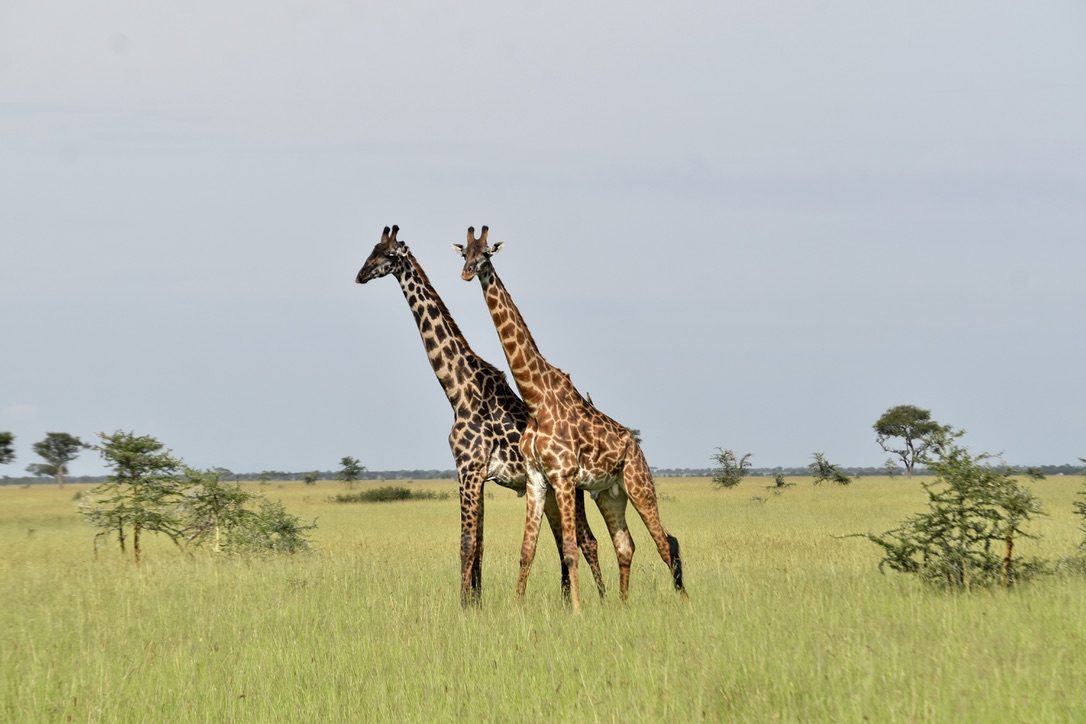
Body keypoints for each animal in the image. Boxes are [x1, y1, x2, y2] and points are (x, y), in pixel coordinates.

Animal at [355, 225, 606, 606]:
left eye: (388, 255)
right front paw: (477, 603)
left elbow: (466, 545)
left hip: (570, 488)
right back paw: (569, 602)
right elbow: (480, 546)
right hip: (548, 491)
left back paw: (602, 600)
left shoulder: (469, 469)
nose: (360, 275)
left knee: (587, 541)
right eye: (371, 250)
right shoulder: (475, 473)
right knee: (566, 540)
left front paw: (463, 607)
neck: (458, 391)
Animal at [454, 226, 685, 609]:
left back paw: (684, 603)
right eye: (464, 254)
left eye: (486, 254)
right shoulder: (537, 479)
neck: (535, 398)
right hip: (609, 494)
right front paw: (516, 609)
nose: (468, 273)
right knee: (626, 545)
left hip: (639, 484)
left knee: (664, 542)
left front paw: (575, 610)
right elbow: (527, 551)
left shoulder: (562, 477)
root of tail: (636, 447)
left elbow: (569, 550)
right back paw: (622, 605)